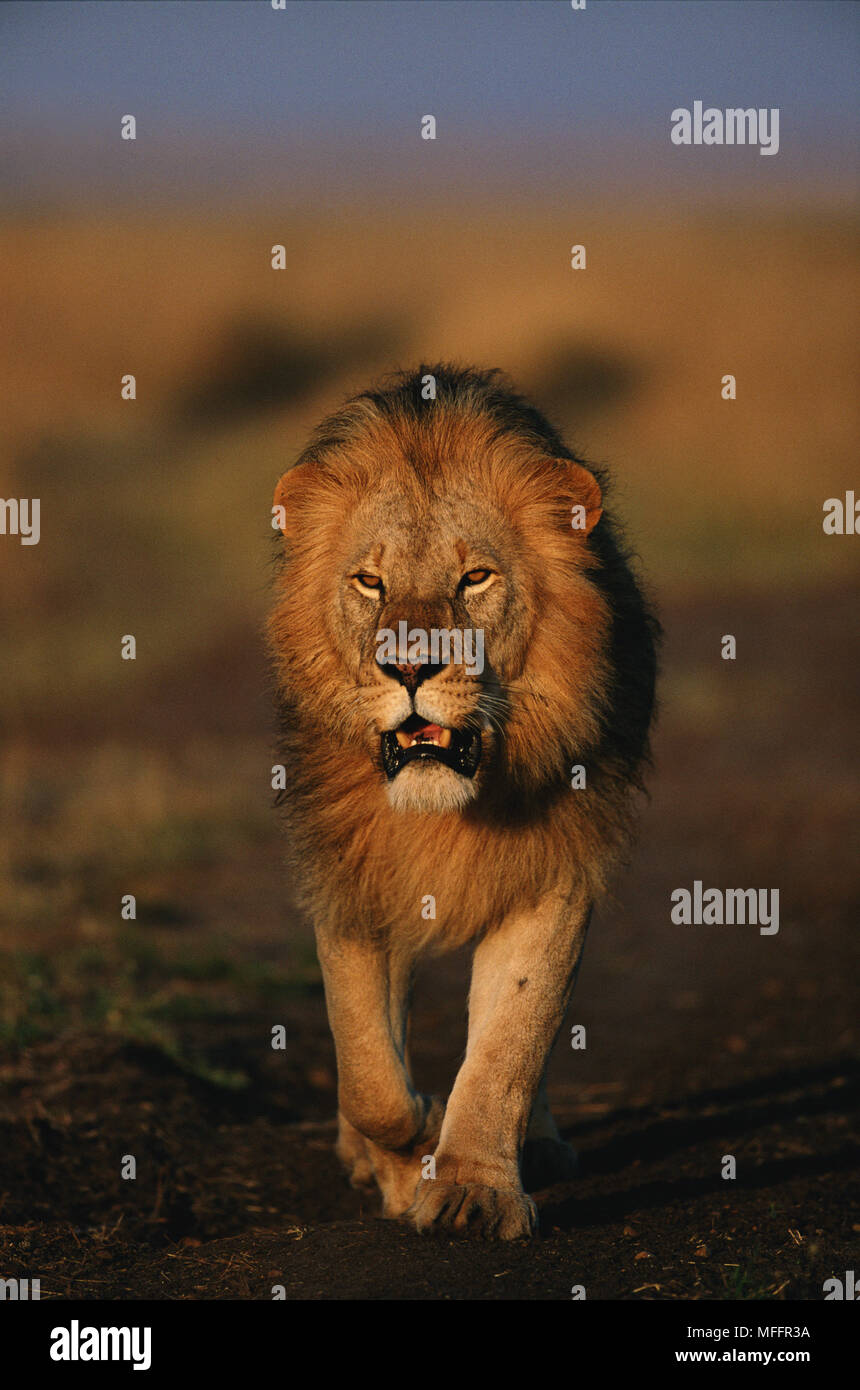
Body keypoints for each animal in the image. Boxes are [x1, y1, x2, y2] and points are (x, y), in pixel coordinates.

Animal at [268, 364, 658, 1239]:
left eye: (474, 577)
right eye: (369, 581)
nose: (410, 668)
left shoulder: (555, 870)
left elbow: (512, 1040)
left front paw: (473, 1187)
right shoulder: (350, 873)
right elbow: (367, 1069)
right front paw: (411, 1138)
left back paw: (535, 1143)